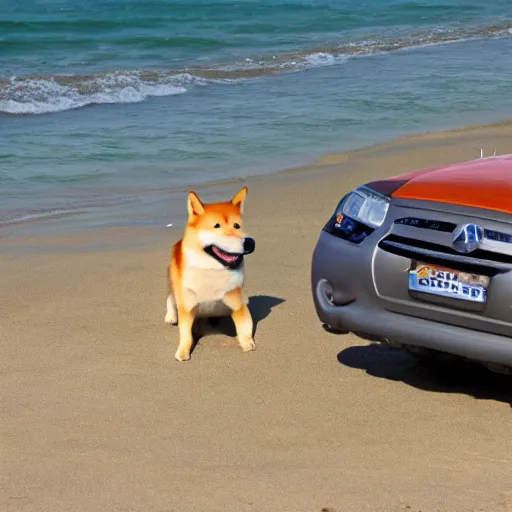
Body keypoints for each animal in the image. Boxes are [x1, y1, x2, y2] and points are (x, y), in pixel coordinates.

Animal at [166, 187, 256, 360]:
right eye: (217, 226)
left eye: (237, 225)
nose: (250, 242)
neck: (213, 271)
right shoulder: (188, 306)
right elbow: (186, 335)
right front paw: (182, 352)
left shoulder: (237, 305)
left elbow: (245, 330)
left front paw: (247, 344)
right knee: (170, 297)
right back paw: (171, 316)